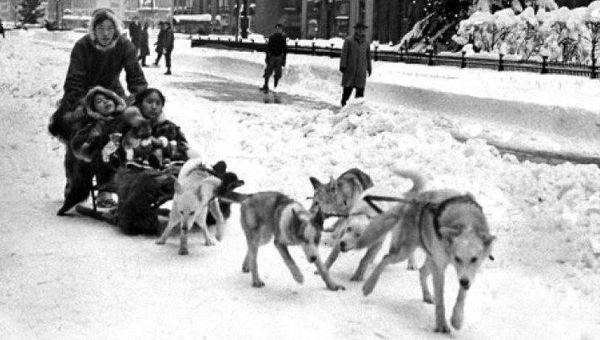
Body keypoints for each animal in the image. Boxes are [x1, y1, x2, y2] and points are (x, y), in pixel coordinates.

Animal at [352, 187, 496, 334]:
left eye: (474, 259)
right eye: (457, 258)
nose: (464, 282)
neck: (466, 221)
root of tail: (413, 200)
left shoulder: (468, 273)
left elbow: (461, 297)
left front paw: (457, 319)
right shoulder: (440, 269)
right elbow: (441, 301)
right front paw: (442, 324)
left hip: (430, 259)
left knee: (421, 271)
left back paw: (427, 295)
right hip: (405, 252)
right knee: (385, 259)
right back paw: (369, 286)